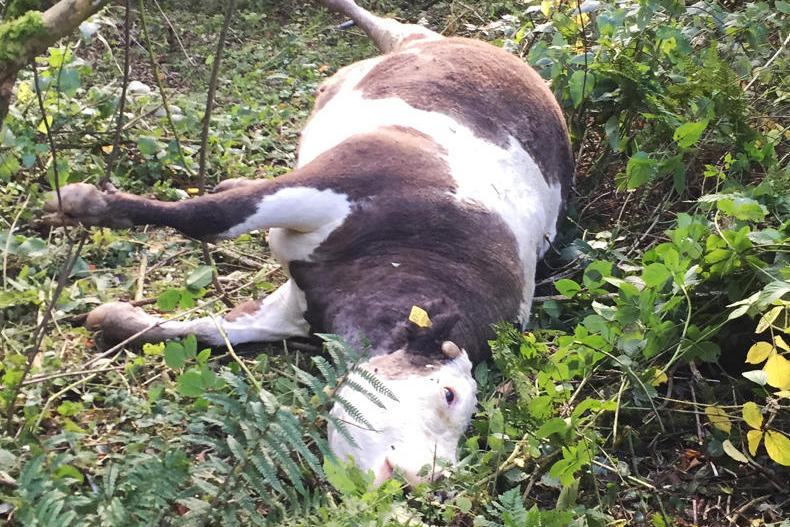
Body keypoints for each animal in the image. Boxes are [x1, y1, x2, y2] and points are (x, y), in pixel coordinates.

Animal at [44, 0, 573, 485]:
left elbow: (207, 332)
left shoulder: (300, 306)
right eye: (448, 395)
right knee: (383, 20)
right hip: (407, 44)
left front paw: (115, 318)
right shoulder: (343, 176)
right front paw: (86, 202)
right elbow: (213, 220)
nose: (429, 477)